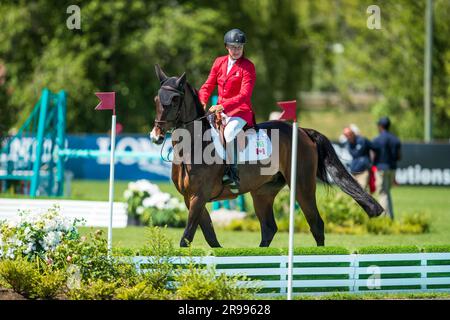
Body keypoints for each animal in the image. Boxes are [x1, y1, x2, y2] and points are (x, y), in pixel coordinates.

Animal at [151, 65, 384, 248]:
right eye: (156, 99)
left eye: (174, 100)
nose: (156, 136)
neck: (193, 147)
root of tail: (303, 131)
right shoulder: (189, 198)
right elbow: (210, 236)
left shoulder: (199, 196)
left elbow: (187, 237)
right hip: (263, 192)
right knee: (269, 228)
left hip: (302, 186)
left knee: (316, 224)